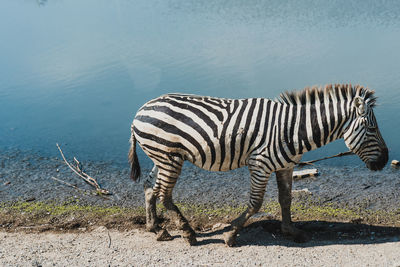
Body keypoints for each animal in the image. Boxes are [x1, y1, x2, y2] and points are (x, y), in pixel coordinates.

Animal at [128, 84, 388, 247]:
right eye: (372, 128)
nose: (386, 160)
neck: (293, 129)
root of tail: (139, 112)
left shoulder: (286, 166)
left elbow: (286, 199)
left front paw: (291, 231)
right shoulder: (259, 164)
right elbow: (255, 204)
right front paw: (231, 234)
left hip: (161, 157)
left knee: (150, 188)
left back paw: (157, 229)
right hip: (169, 158)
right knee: (164, 194)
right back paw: (188, 233)